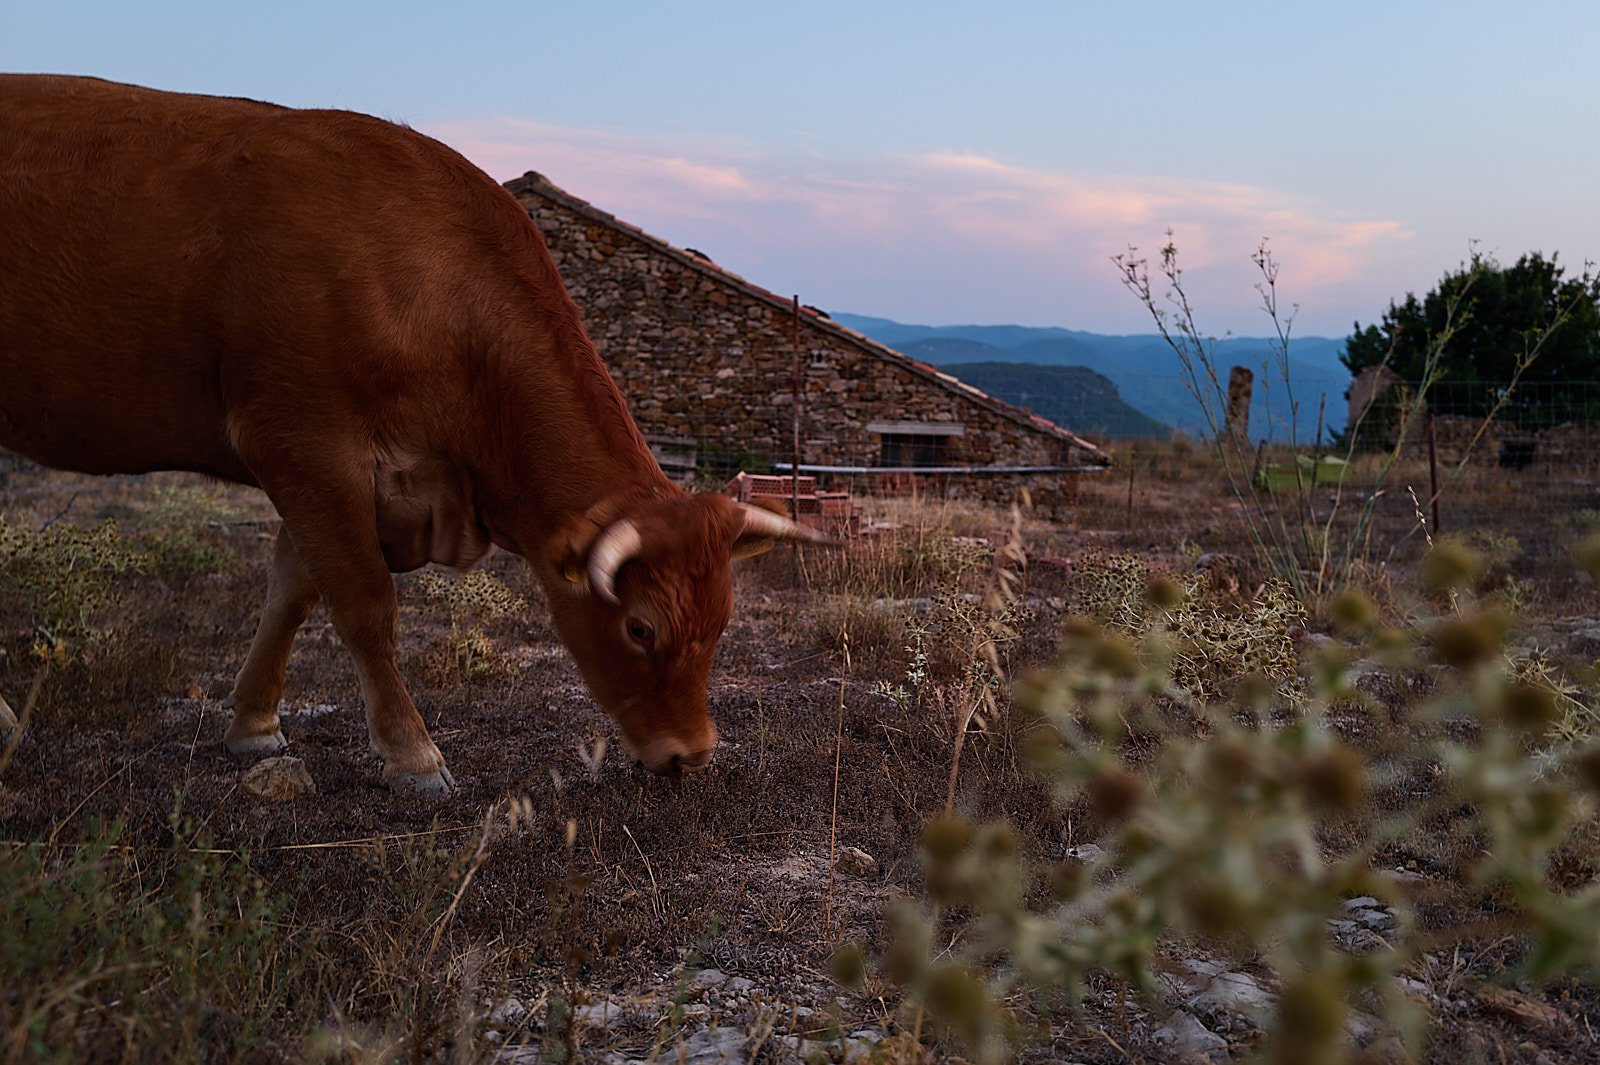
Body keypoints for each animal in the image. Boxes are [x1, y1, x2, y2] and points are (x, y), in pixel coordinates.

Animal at [0, 74, 824, 794]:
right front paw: (412, 756)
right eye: (641, 629)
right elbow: (364, 606)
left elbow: (291, 594)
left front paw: (254, 722)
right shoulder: (302, 443)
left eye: (722, 622)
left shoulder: (347, 477)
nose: (692, 753)